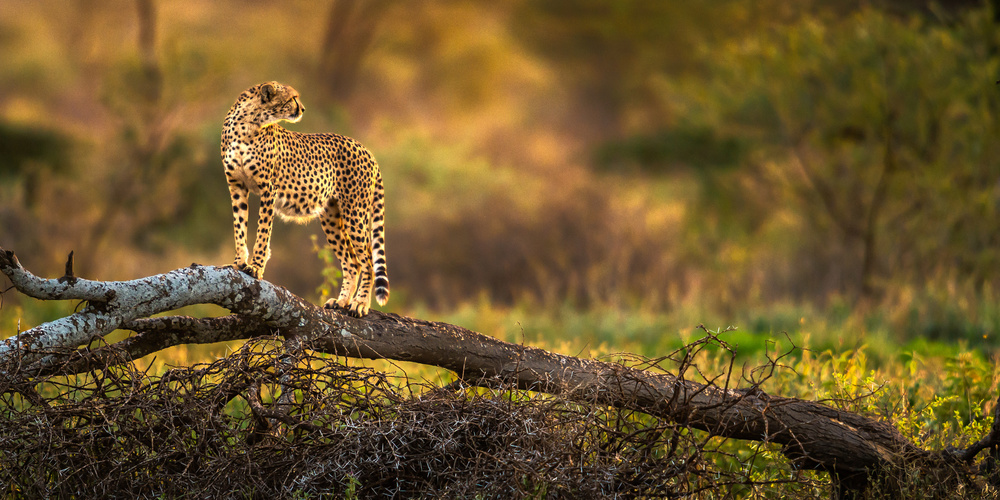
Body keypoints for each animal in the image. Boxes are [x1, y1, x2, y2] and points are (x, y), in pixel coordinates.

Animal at [223, 81, 390, 316]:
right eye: (293, 98)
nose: (302, 109)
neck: (247, 123)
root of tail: (365, 149)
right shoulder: (236, 186)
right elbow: (239, 227)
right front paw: (238, 262)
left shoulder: (268, 189)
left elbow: (263, 232)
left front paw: (255, 267)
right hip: (331, 217)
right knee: (352, 262)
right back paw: (341, 302)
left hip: (354, 212)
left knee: (367, 260)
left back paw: (360, 304)